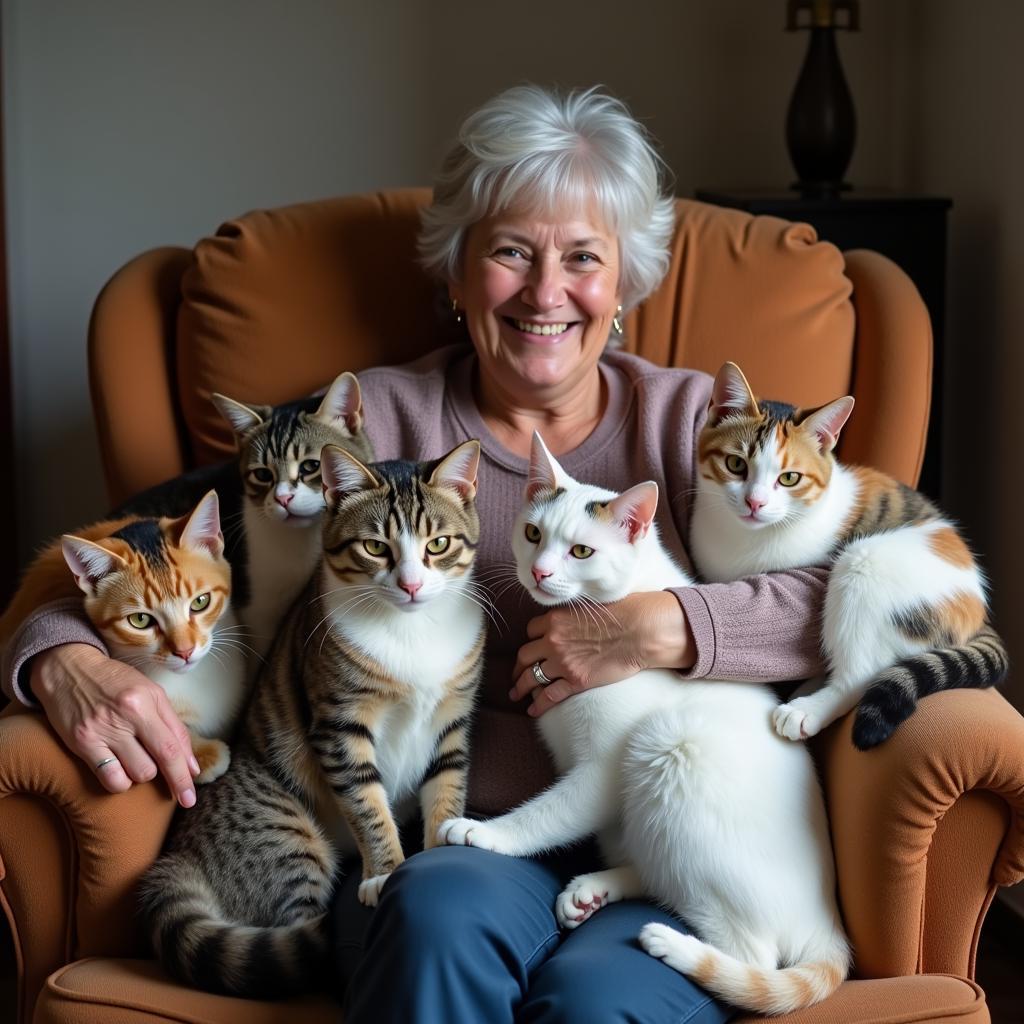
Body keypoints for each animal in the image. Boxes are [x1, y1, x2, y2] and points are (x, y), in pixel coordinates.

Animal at [140, 442, 487, 999]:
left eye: (438, 544)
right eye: (375, 547)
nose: (411, 585)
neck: (411, 630)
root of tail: (177, 859)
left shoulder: (452, 720)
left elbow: (446, 787)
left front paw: (437, 853)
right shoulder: (339, 725)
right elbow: (368, 805)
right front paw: (385, 874)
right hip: (284, 836)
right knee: (292, 939)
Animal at [440, 432, 847, 1015]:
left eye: (581, 551)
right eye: (533, 534)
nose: (539, 572)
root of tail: (828, 920)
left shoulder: (602, 770)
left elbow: (550, 814)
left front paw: (488, 833)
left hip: (667, 748)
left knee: (754, 957)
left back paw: (672, 945)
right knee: (660, 874)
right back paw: (594, 890)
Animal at [688, 364, 1007, 749]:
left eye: (789, 478)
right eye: (736, 464)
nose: (755, 502)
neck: (744, 536)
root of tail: (977, 603)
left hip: (867, 561)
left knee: (860, 675)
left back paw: (807, 709)